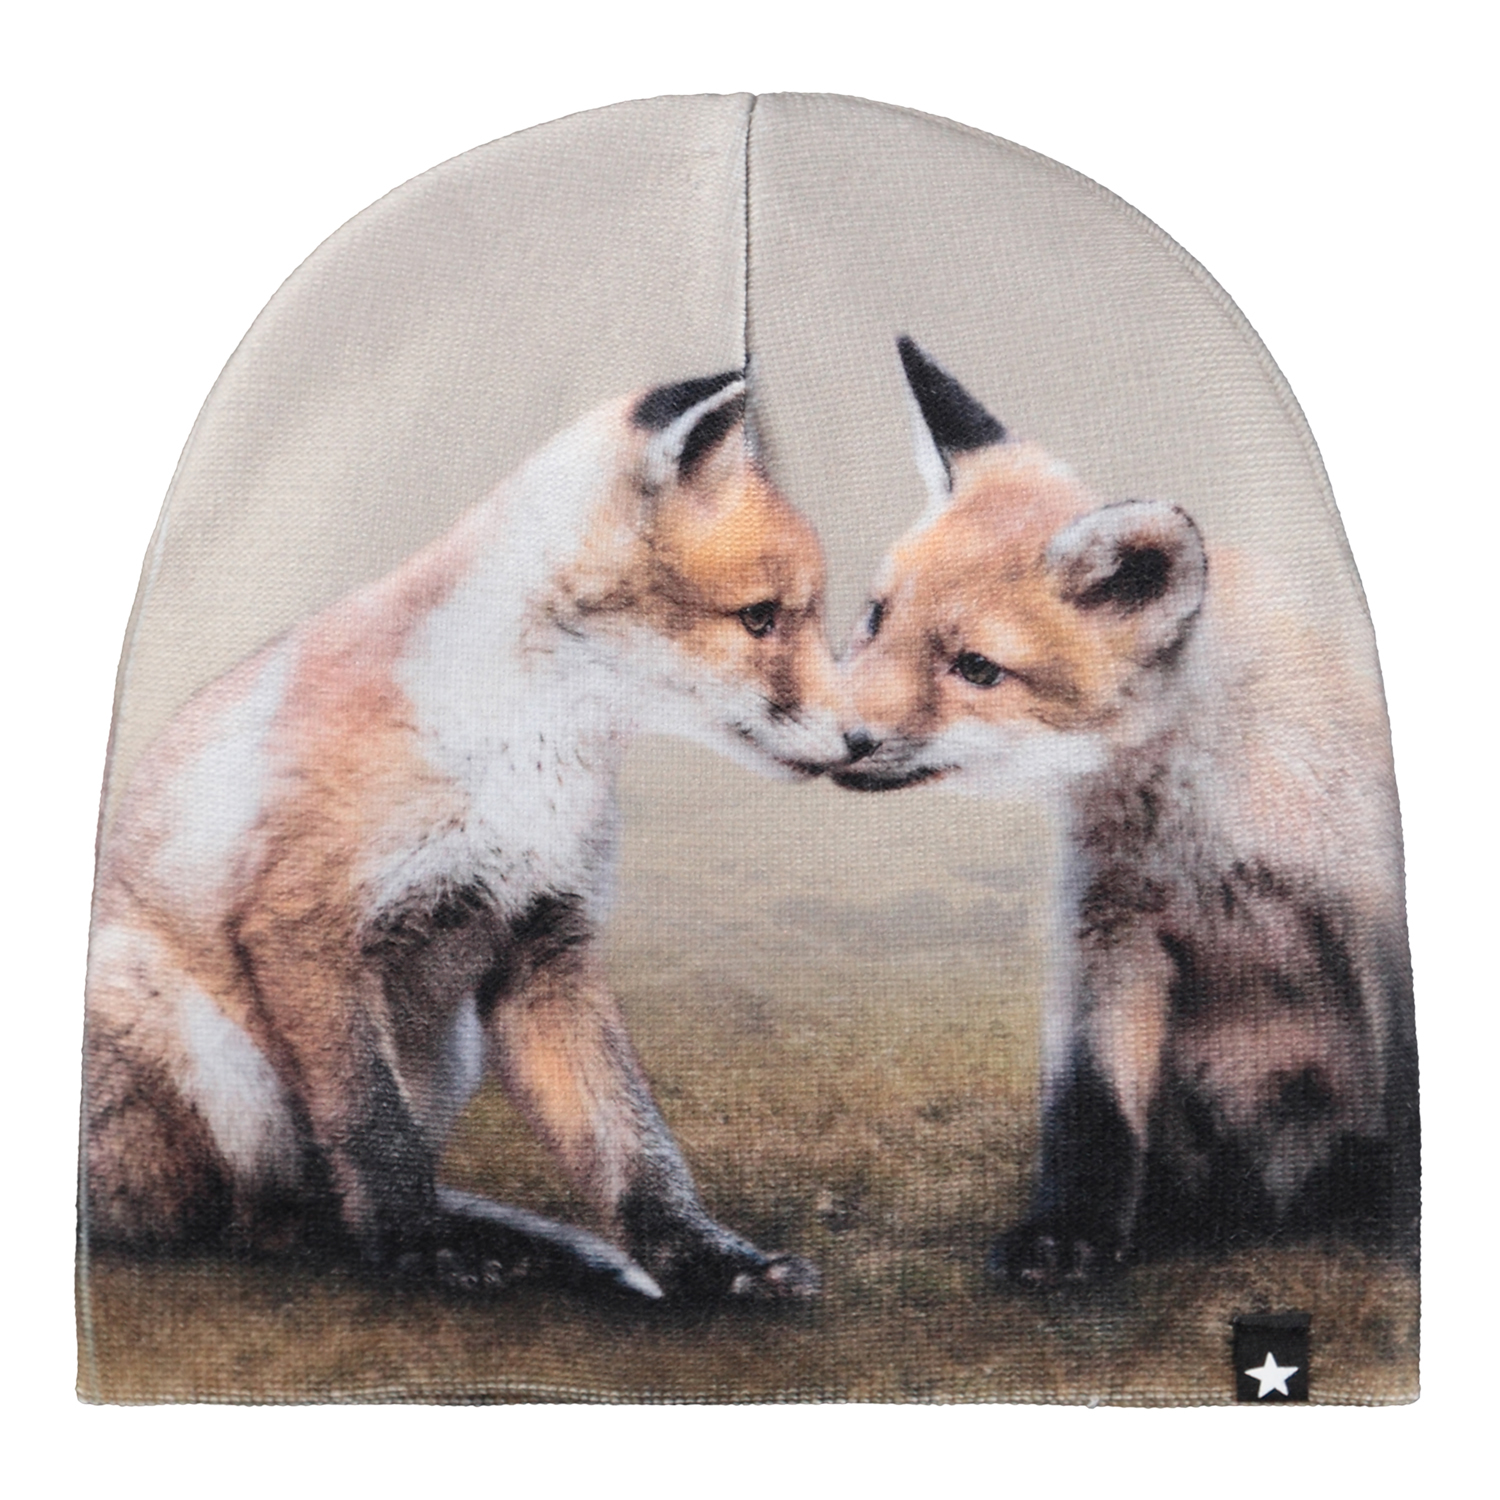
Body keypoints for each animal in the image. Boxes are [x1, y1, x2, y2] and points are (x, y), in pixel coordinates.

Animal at [83, 370, 858, 1301]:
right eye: (760, 619)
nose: (863, 742)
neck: (529, 758)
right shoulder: (304, 928)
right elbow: (373, 1128)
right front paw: (419, 1246)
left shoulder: (545, 947)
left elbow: (630, 1143)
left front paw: (705, 1259)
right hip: (192, 1037)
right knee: (264, 1219)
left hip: (443, 1048)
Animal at [836, 337, 1418, 1286]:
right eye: (876, 618)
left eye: (977, 668)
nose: (835, 736)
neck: (1202, 822)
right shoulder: (1108, 927)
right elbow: (1092, 1104)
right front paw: (1068, 1232)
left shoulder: (1370, 911)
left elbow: (1407, 1082)